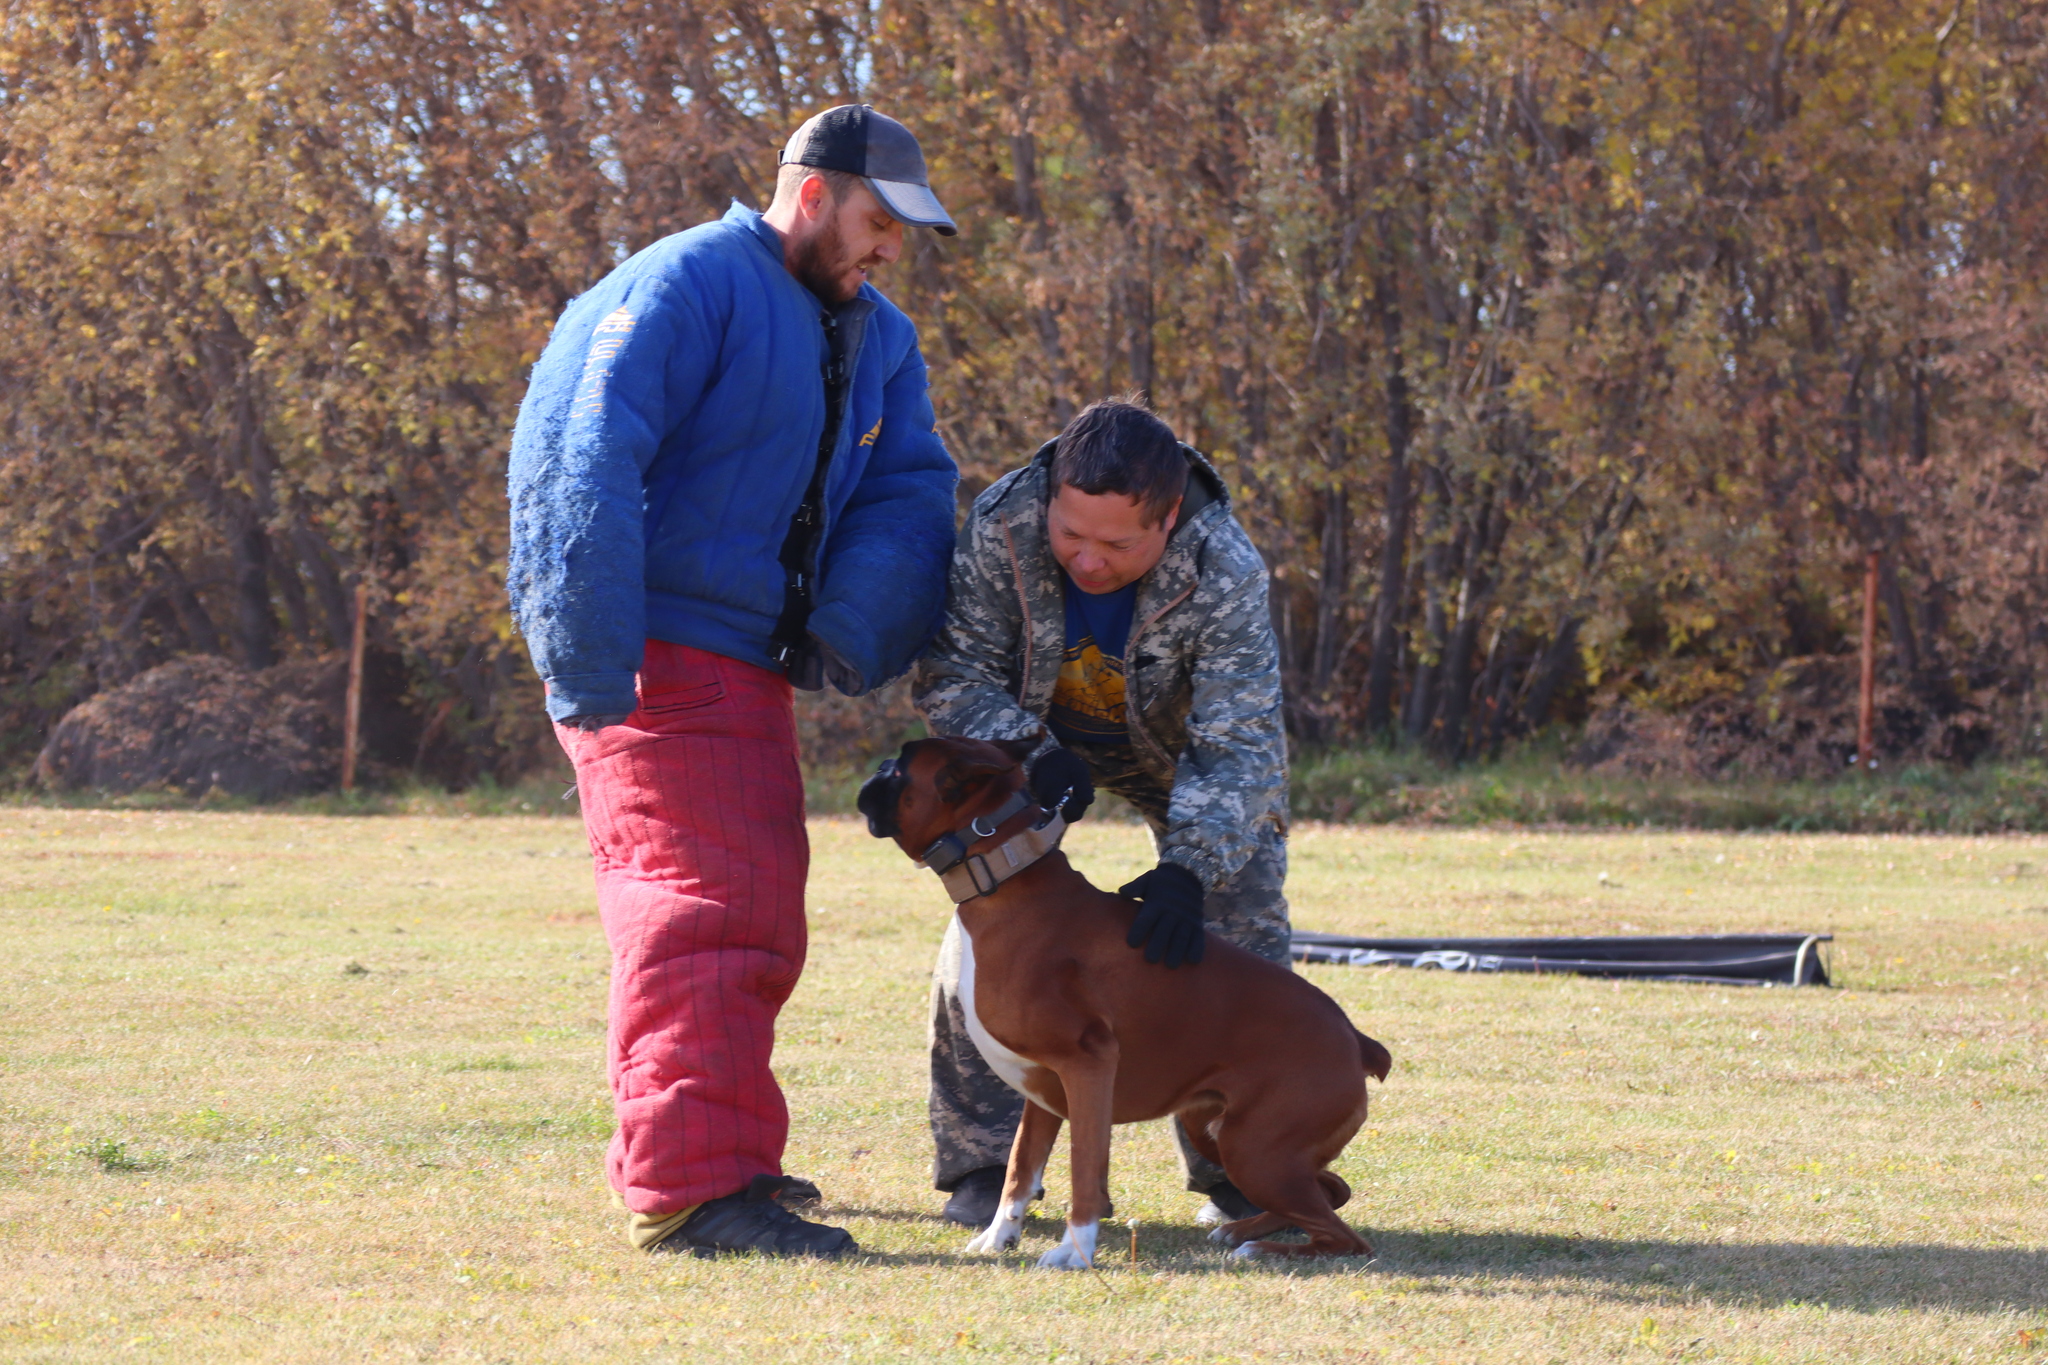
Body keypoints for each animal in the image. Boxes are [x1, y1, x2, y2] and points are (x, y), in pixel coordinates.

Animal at [847, 740, 1392, 1268]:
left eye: (900, 768)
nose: (877, 766)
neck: (1007, 882)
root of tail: (1356, 1040)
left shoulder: (1088, 1066)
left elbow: (1085, 1168)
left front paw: (1076, 1250)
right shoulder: (1041, 1090)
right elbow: (1020, 1169)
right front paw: (999, 1236)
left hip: (1255, 1150)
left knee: (1348, 1238)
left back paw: (1259, 1248)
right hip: (1218, 1131)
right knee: (1333, 1190)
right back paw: (1241, 1230)